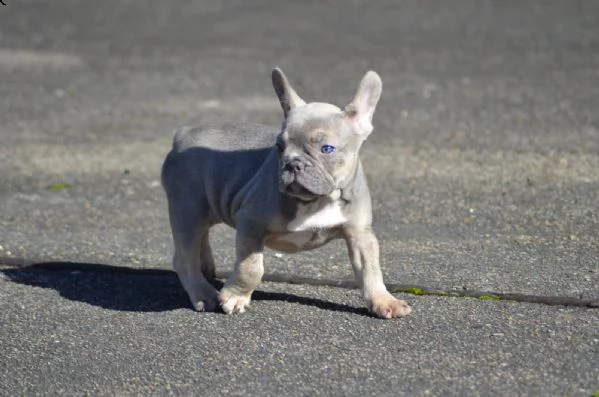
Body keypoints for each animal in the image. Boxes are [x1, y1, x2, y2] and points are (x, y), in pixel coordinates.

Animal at [161, 66, 412, 318]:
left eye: (326, 149)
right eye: (279, 147)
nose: (293, 164)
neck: (317, 201)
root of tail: (183, 134)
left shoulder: (359, 233)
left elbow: (370, 268)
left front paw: (384, 300)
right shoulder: (251, 224)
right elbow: (251, 268)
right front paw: (235, 296)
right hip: (188, 209)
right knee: (185, 257)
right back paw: (203, 293)